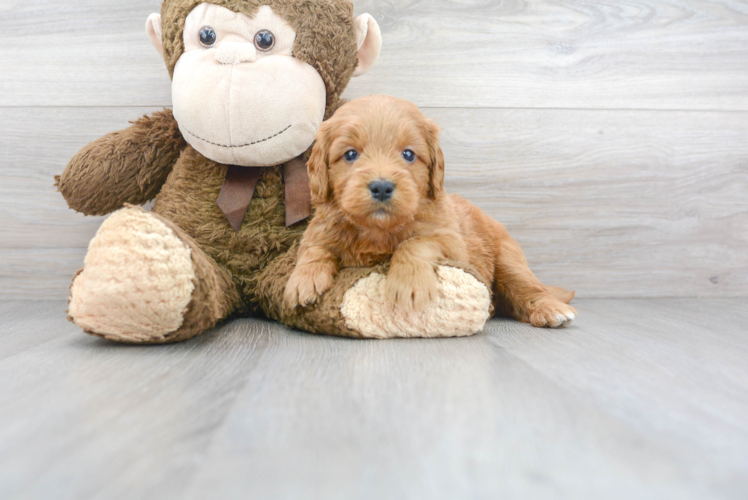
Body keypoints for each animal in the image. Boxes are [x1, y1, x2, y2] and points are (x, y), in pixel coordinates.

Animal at [284, 94, 576, 328]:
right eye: (350, 154)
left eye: (409, 154)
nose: (381, 187)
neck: (378, 231)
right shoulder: (319, 230)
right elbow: (313, 249)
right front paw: (302, 281)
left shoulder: (452, 242)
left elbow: (415, 243)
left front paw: (408, 284)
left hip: (508, 258)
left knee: (528, 287)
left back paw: (552, 309)